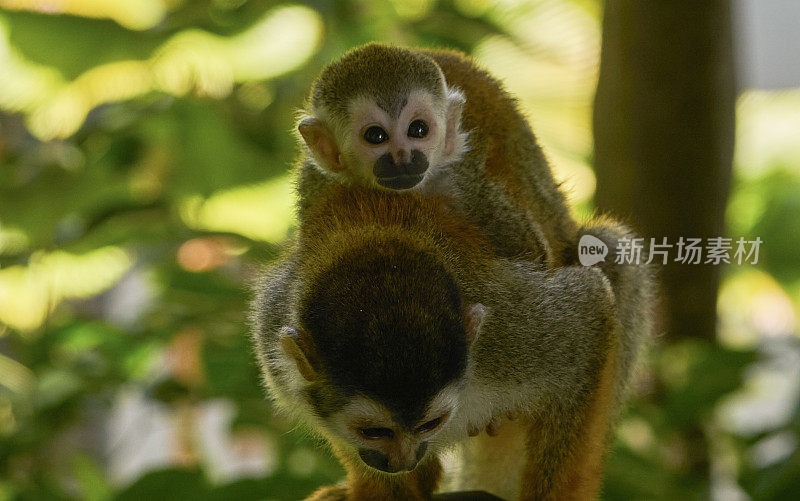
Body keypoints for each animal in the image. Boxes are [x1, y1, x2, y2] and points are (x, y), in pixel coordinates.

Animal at [294, 44, 576, 262]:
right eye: (376, 136)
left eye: (418, 129)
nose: (403, 157)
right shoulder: (317, 188)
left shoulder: (463, 183)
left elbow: (528, 249)